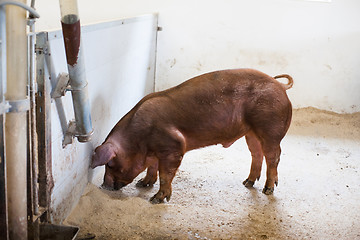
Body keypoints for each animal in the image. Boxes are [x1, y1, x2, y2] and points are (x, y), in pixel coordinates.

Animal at [90, 68, 292, 203]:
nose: (104, 185)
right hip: (251, 132)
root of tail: (280, 86)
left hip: (270, 127)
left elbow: (165, 174)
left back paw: (267, 190)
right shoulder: (156, 151)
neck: (139, 140)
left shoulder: (174, 146)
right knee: (257, 154)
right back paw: (247, 183)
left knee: (274, 156)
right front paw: (142, 184)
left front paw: (156, 199)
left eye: (110, 164)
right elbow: (152, 168)